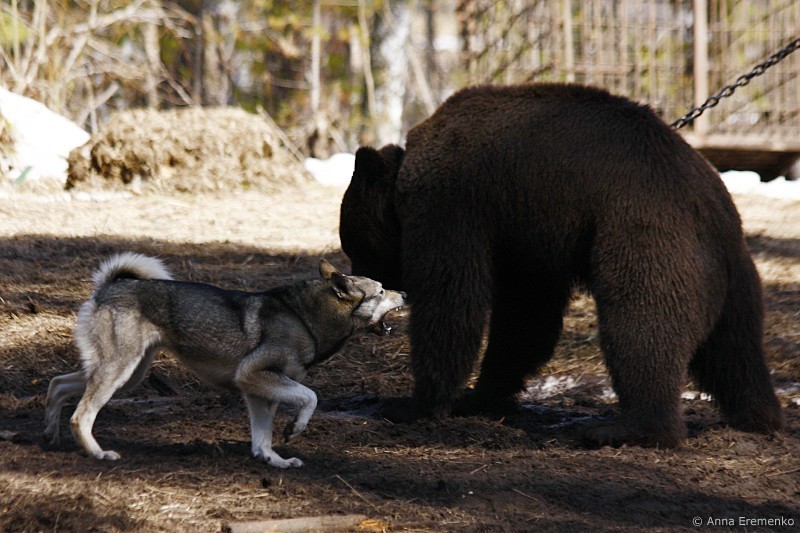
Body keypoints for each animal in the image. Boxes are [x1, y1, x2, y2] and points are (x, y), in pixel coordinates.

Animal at [44, 252, 405, 468]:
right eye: (381, 291)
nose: (405, 293)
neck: (303, 316)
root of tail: (107, 287)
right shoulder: (255, 375)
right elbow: (311, 398)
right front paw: (295, 430)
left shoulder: (260, 391)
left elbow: (262, 436)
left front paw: (273, 460)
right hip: (119, 370)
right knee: (81, 415)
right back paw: (96, 452)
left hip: (128, 373)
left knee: (57, 384)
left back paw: (51, 433)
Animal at [339, 83, 785, 448]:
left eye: (354, 245)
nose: (359, 281)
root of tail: (709, 205)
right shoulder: (527, 235)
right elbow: (524, 318)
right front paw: (479, 396)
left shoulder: (454, 202)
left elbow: (451, 301)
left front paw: (411, 404)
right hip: (735, 275)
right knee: (736, 350)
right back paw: (758, 415)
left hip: (647, 239)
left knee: (641, 326)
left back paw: (628, 428)